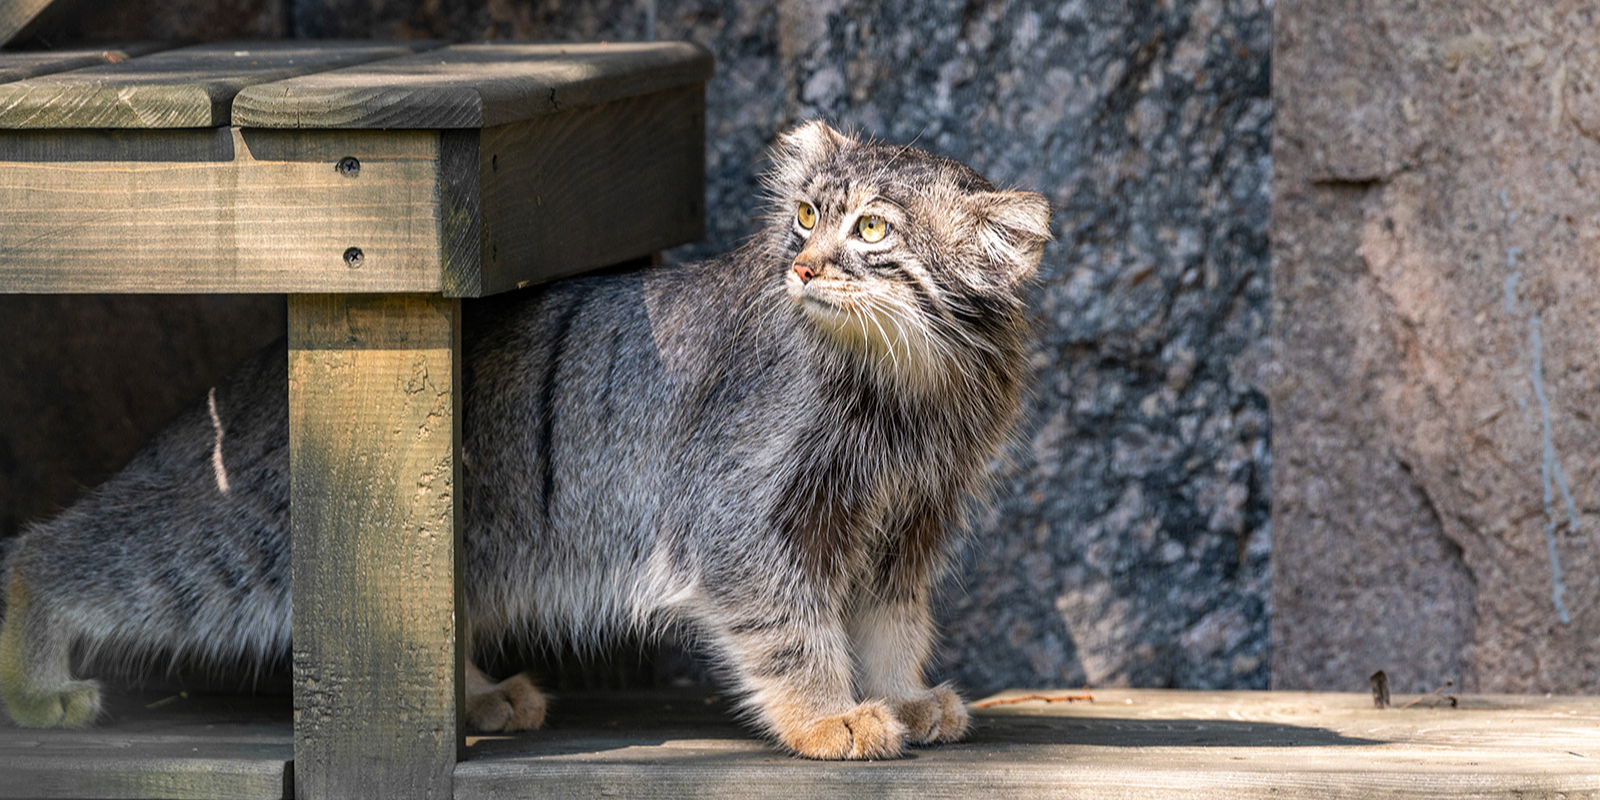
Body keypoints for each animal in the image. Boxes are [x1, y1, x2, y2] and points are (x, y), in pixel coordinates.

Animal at [0, 121, 1049, 758]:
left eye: (870, 229)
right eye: (802, 216)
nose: (799, 267)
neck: (910, 386)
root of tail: (265, 369)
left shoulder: (903, 527)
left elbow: (888, 625)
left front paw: (901, 694)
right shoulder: (743, 521)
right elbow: (792, 629)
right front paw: (828, 716)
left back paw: (473, 698)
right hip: (240, 544)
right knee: (55, 552)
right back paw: (34, 674)